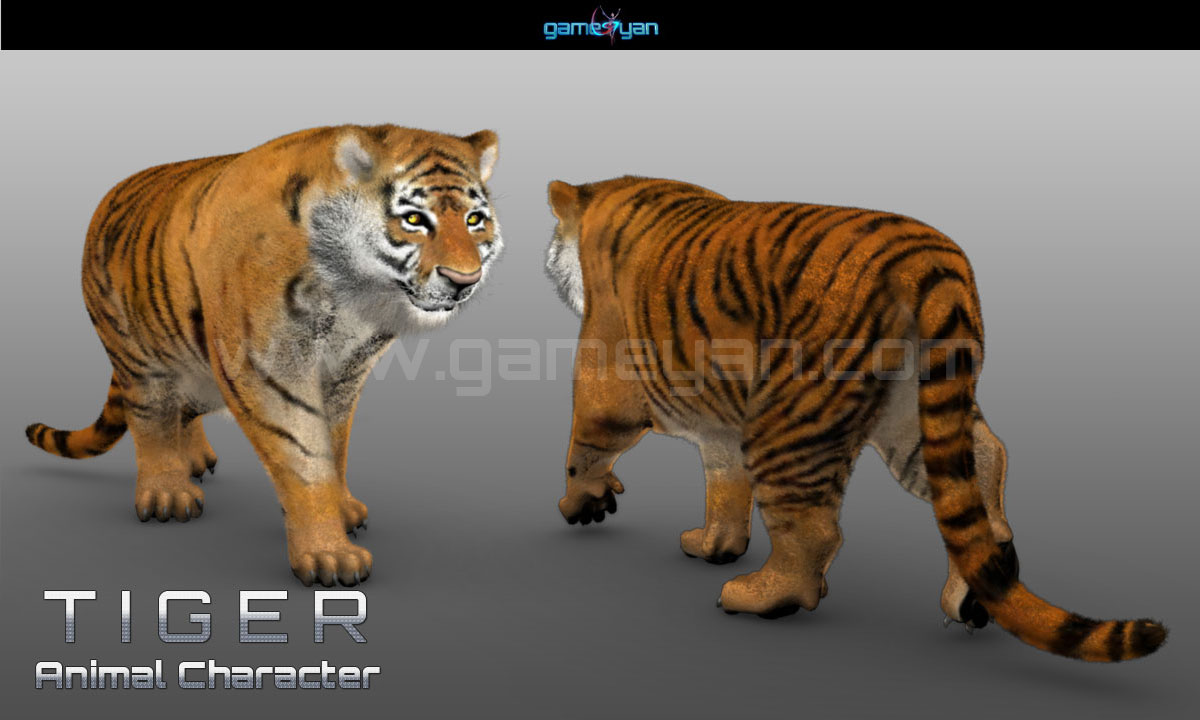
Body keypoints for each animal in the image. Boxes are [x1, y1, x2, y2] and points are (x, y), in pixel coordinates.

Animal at [25, 124, 502, 587]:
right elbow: (304, 457)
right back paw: (167, 491)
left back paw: (193, 458)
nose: (465, 280)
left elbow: (335, 445)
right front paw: (328, 554)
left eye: (474, 220)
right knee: (152, 419)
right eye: (415, 220)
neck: (358, 294)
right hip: (138, 355)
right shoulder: (270, 367)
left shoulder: (344, 371)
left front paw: (342, 508)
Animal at [544, 175, 1167, 662]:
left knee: (813, 528)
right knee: (988, 461)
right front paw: (714, 543)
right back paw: (976, 587)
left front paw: (581, 504)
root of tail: (925, 257)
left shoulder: (609, 366)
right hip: (913, 419)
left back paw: (761, 596)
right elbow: (723, 482)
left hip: (791, 418)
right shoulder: (722, 420)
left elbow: (586, 440)